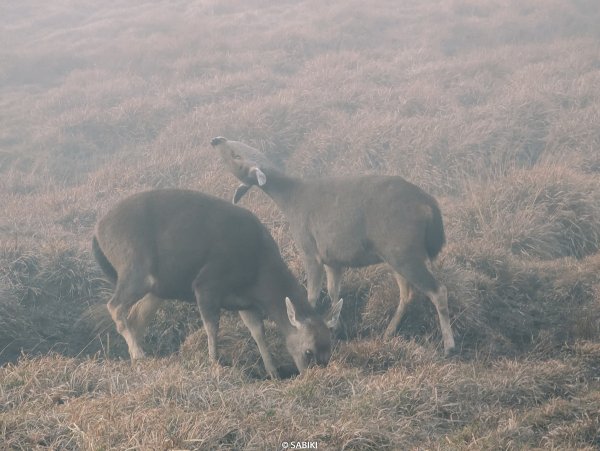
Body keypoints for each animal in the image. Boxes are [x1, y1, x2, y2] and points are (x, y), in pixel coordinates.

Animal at [94, 189, 346, 380]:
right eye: (308, 351)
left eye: (329, 349)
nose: (315, 376)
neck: (257, 276)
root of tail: (97, 234)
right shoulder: (206, 284)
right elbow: (212, 327)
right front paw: (214, 362)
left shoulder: (245, 303)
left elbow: (258, 332)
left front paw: (273, 372)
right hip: (135, 266)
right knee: (114, 305)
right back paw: (138, 354)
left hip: (158, 288)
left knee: (136, 316)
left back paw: (138, 356)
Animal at [211, 137, 454, 356]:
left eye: (236, 154)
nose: (216, 139)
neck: (290, 201)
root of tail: (429, 206)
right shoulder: (332, 260)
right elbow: (334, 293)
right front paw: (336, 330)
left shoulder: (309, 250)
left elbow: (311, 296)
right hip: (395, 253)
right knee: (408, 293)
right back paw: (388, 332)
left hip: (403, 249)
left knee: (438, 290)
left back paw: (449, 346)